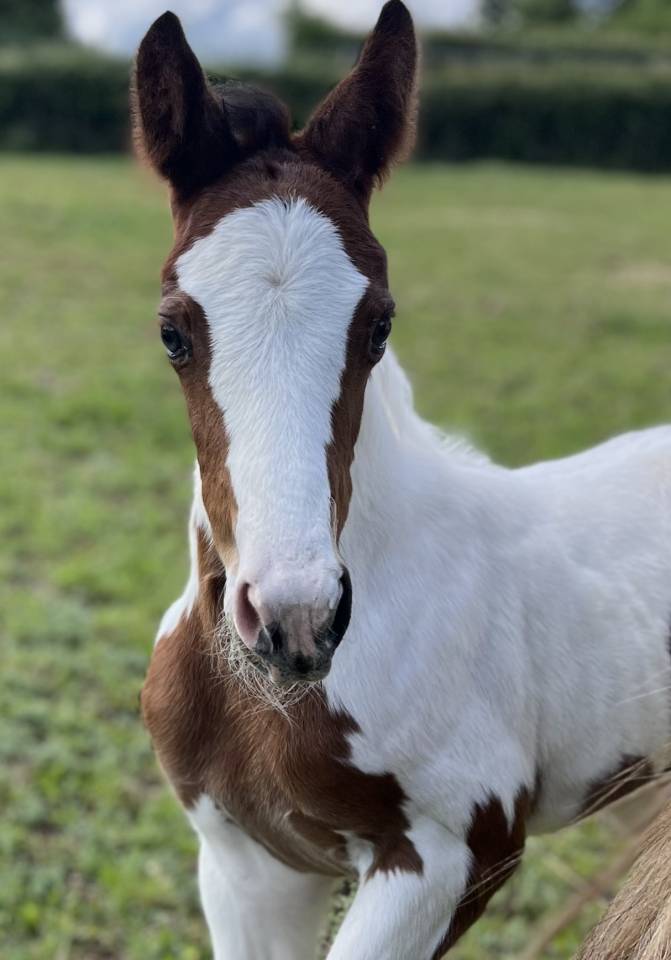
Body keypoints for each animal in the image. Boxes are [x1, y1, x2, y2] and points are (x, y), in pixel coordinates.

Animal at [133, 3, 671, 957]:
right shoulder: (244, 863)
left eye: (378, 325)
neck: (262, 703)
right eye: (172, 332)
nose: (295, 618)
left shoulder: (453, 852)